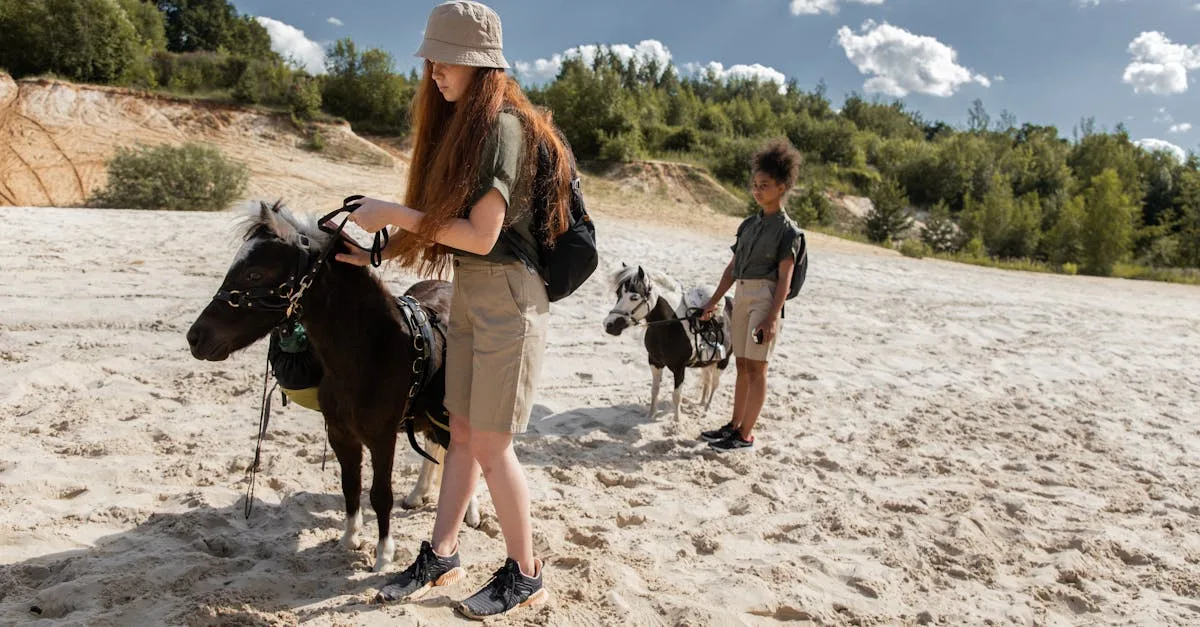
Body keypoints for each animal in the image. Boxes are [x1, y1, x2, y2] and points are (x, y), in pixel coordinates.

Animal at [186, 201, 479, 572]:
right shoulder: (341, 434)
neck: (370, 351)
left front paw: (383, 555)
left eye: (254, 274)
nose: (195, 337)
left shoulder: (382, 439)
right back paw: (418, 495)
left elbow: (380, 494)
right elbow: (350, 486)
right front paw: (350, 539)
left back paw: (471, 512)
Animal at [603, 264, 733, 420]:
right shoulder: (654, 362)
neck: (669, 325)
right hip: (708, 362)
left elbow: (676, 395)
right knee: (707, 379)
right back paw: (701, 403)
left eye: (634, 297)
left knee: (714, 384)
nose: (609, 325)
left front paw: (677, 422)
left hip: (723, 361)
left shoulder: (679, 368)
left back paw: (706, 410)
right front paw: (650, 415)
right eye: (618, 294)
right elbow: (654, 390)